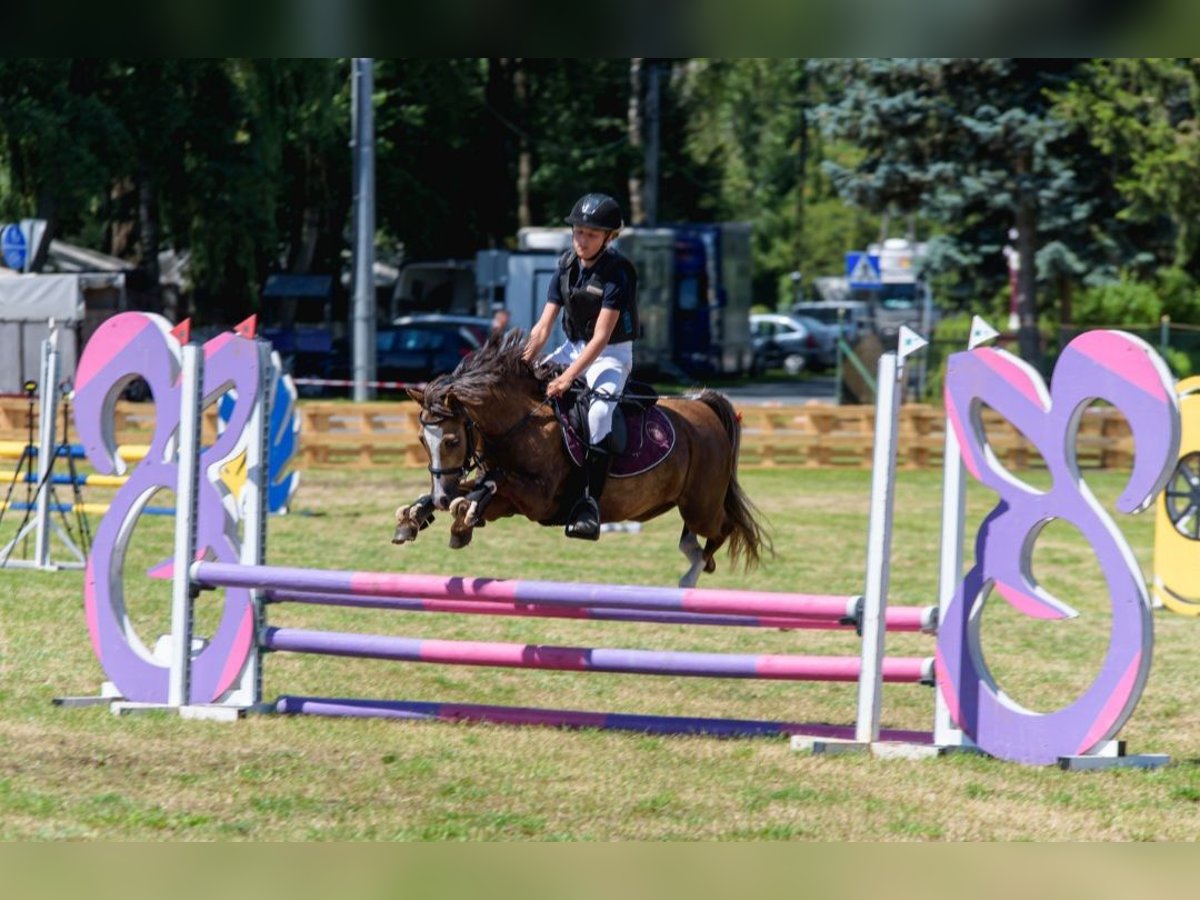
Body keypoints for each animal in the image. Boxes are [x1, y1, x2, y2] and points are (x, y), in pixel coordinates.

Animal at [393, 328, 768, 588]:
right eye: (422, 440)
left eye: (453, 439)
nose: (441, 497)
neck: (523, 422)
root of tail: (702, 404)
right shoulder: (510, 503)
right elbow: (479, 488)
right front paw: (419, 515)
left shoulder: (539, 499)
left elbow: (494, 482)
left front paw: (459, 515)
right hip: (679, 503)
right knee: (694, 538)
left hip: (701, 504)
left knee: (722, 527)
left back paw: (690, 577)